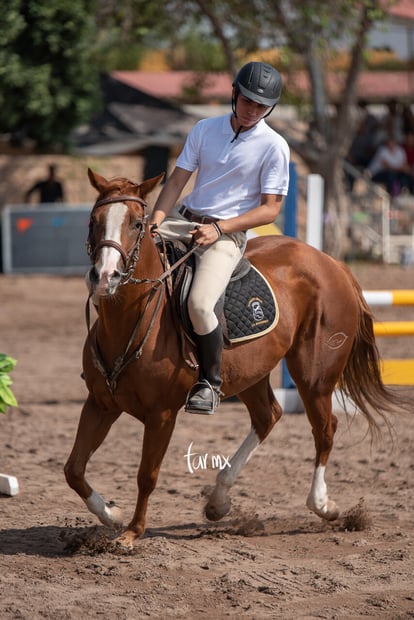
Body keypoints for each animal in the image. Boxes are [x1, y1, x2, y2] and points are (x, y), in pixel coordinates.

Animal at [65, 168, 408, 548]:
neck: (130, 320)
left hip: (314, 377)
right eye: (93, 221)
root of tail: (331, 263)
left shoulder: (161, 415)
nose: (104, 277)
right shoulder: (100, 404)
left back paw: (323, 505)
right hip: (249, 373)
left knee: (324, 428)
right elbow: (74, 469)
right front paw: (111, 514)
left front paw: (131, 532)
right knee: (267, 416)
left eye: (137, 223)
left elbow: (146, 475)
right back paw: (218, 500)